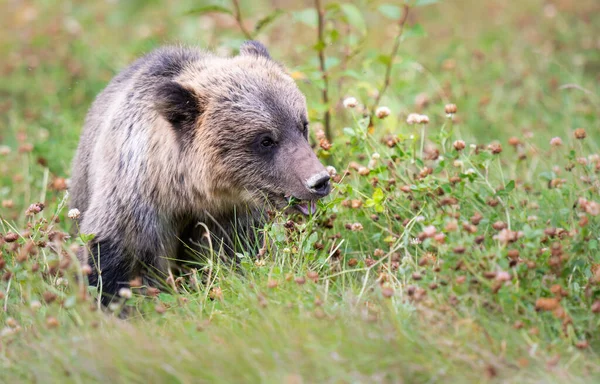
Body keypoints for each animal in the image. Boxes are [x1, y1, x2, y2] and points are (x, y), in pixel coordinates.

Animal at [71, 42, 332, 304]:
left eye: (302, 125)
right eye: (266, 140)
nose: (319, 181)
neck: (186, 193)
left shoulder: (232, 216)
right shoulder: (135, 206)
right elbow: (111, 262)